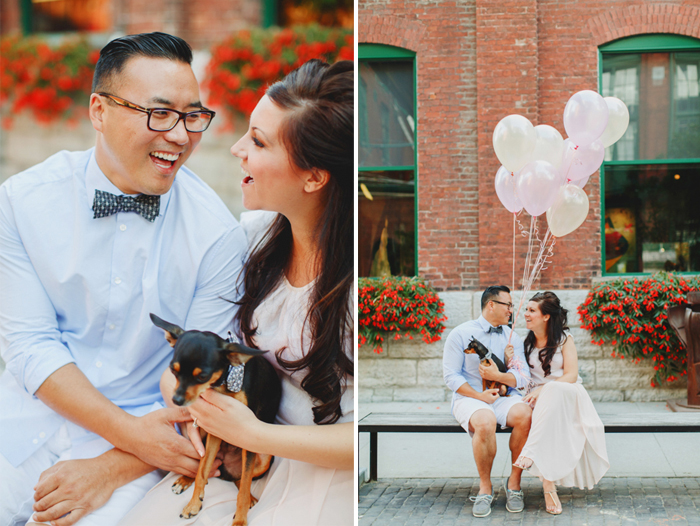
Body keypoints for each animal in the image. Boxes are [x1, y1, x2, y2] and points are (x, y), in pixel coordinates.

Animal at [152, 316, 284, 524]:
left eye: (202, 376)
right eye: (173, 370)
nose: (177, 400)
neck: (226, 384)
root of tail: (226, 470)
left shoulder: (246, 434)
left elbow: (244, 486)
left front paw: (240, 520)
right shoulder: (214, 431)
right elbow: (202, 470)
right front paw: (193, 504)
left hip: (264, 457)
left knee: (241, 480)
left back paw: (250, 498)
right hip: (203, 436)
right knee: (204, 466)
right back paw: (185, 480)